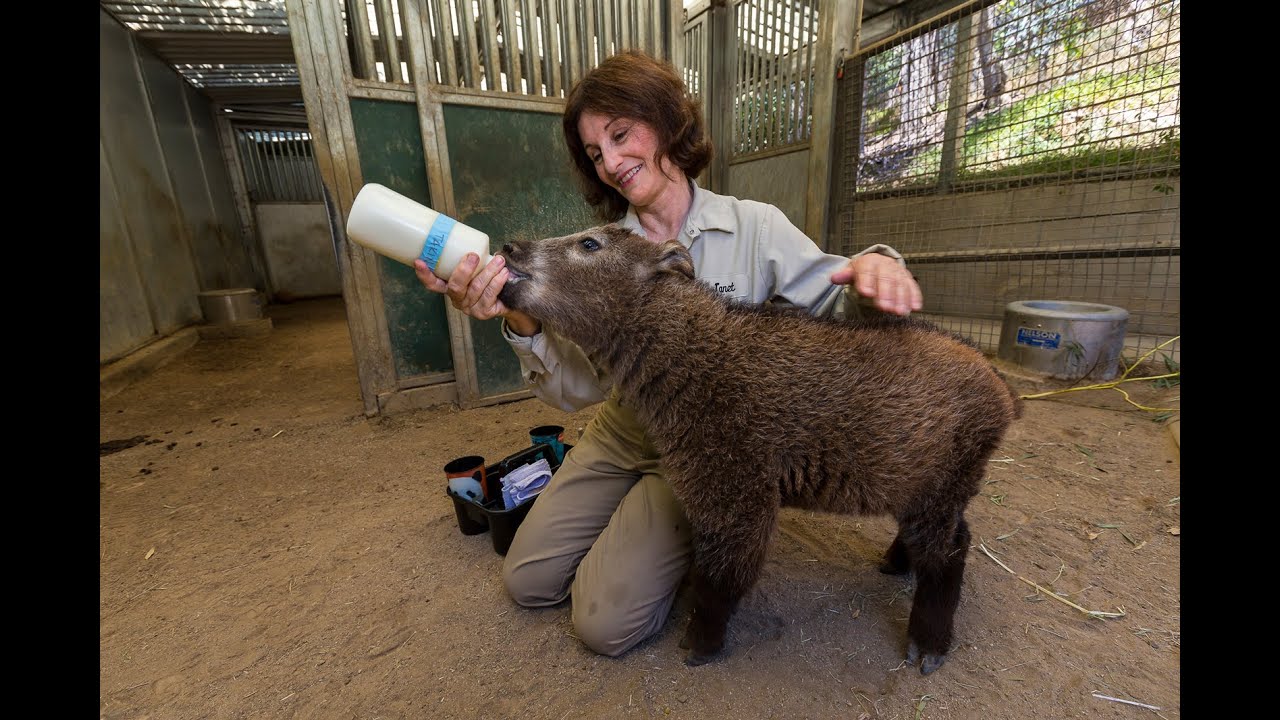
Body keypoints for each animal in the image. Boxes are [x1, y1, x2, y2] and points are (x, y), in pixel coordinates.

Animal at [494, 224, 1024, 671]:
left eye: (590, 244)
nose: (509, 246)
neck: (695, 356)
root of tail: (1001, 388)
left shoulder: (735, 490)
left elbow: (721, 579)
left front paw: (700, 644)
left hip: (941, 485)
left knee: (950, 551)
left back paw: (928, 643)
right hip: (920, 483)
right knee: (951, 534)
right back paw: (896, 563)